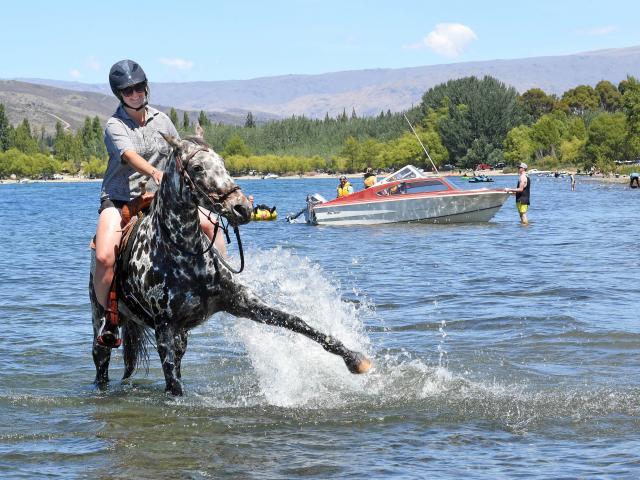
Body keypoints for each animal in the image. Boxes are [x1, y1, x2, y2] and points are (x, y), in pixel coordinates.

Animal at [90, 137, 370, 396]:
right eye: (197, 167)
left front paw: (355, 359)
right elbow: (174, 385)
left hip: (181, 336)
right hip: (103, 320)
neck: (184, 253)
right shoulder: (165, 328)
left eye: (222, 163)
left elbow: (297, 322)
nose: (242, 207)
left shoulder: (241, 302)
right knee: (101, 359)